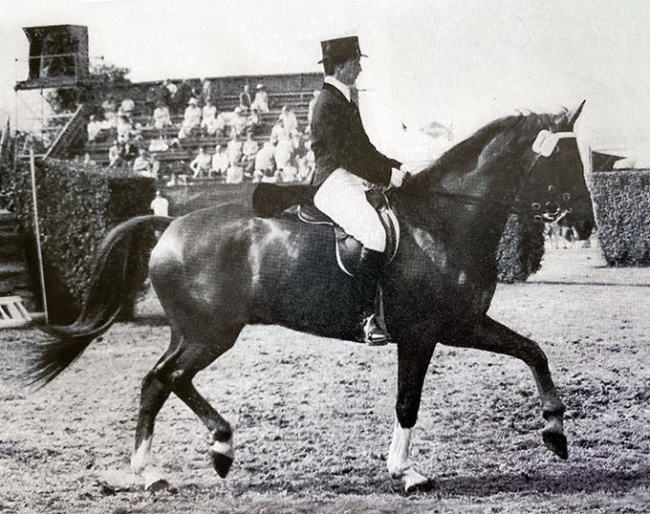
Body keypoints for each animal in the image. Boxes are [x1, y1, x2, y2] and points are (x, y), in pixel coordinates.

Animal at [30, 102, 592, 490]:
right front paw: (405, 472)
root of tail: (169, 225)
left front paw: (555, 431)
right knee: (165, 379)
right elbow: (407, 402)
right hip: (211, 333)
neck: (444, 219)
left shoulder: (461, 324)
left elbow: (532, 351)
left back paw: (173, 465)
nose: (586, 224)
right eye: (563, 160)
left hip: (193, 331)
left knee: (161, 381)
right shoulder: (421, 334)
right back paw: (200, 454)